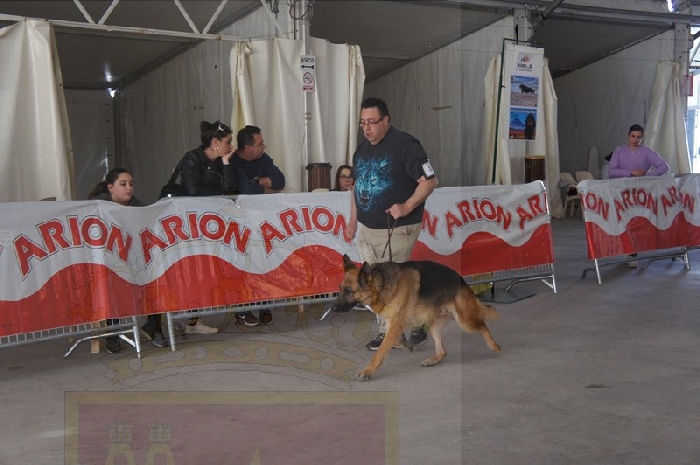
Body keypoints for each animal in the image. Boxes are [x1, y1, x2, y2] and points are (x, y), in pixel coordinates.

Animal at [330, 255, 501, 380]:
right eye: (340, 289)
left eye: (348, 291)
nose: (332, 308)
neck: (382, 285)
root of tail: (461, 280)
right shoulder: (392, 323)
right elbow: (394, 340)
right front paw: (407, 345)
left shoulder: (395, 324)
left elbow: (381, 352)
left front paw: (368, 370)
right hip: (434, 324)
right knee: (443, 351)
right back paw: (432, 360)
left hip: (464, 321)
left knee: (483, 325)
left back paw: (494, 345)